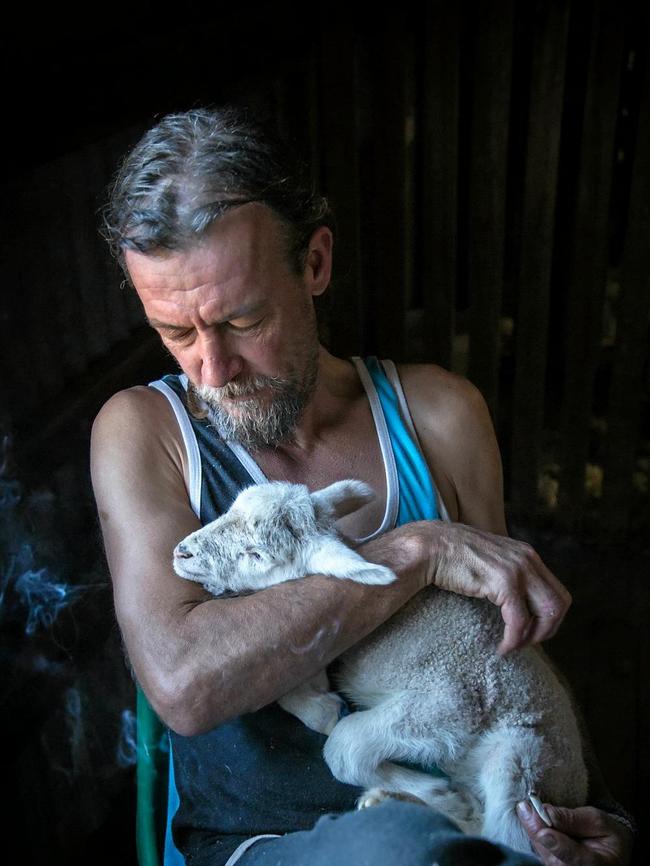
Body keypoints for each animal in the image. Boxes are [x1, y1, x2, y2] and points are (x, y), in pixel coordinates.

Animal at [172, 480, 588, 852]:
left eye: (256, 554)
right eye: (231, 509)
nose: (181, 553)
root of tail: (576, 787)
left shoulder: (452, 700)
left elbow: (344, 749)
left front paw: (440, 793)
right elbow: (300, 697)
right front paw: (322, 707)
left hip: (523, 759)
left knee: (508, 837)